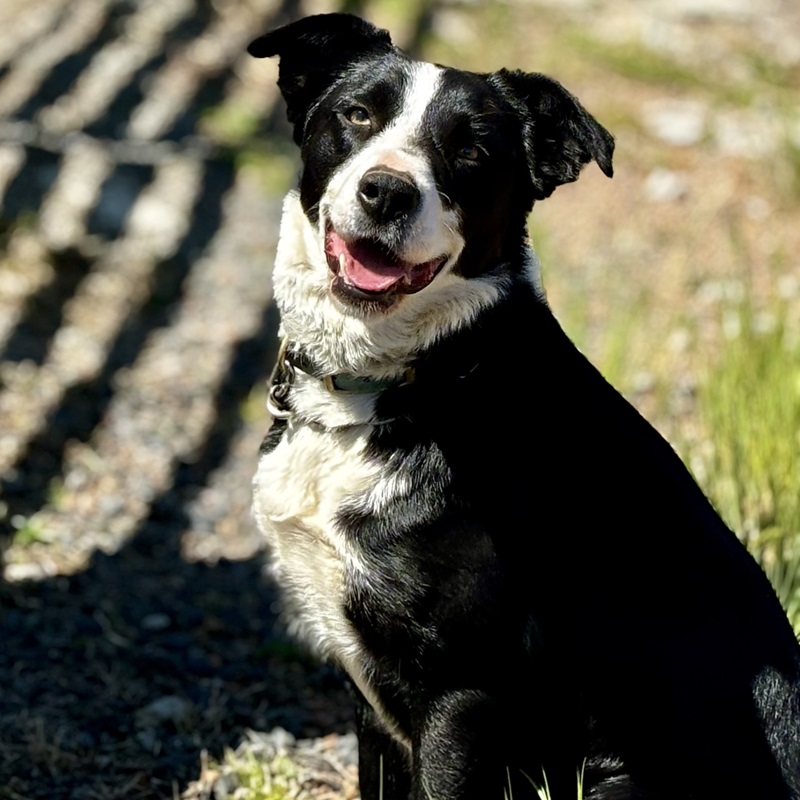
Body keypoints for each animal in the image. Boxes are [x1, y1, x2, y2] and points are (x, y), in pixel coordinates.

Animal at [248, 14, 800, 800]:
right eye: (357, 115)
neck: (418, 378)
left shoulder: (463, 692)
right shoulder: (372, 705)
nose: (386, 192)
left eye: (472, 150)